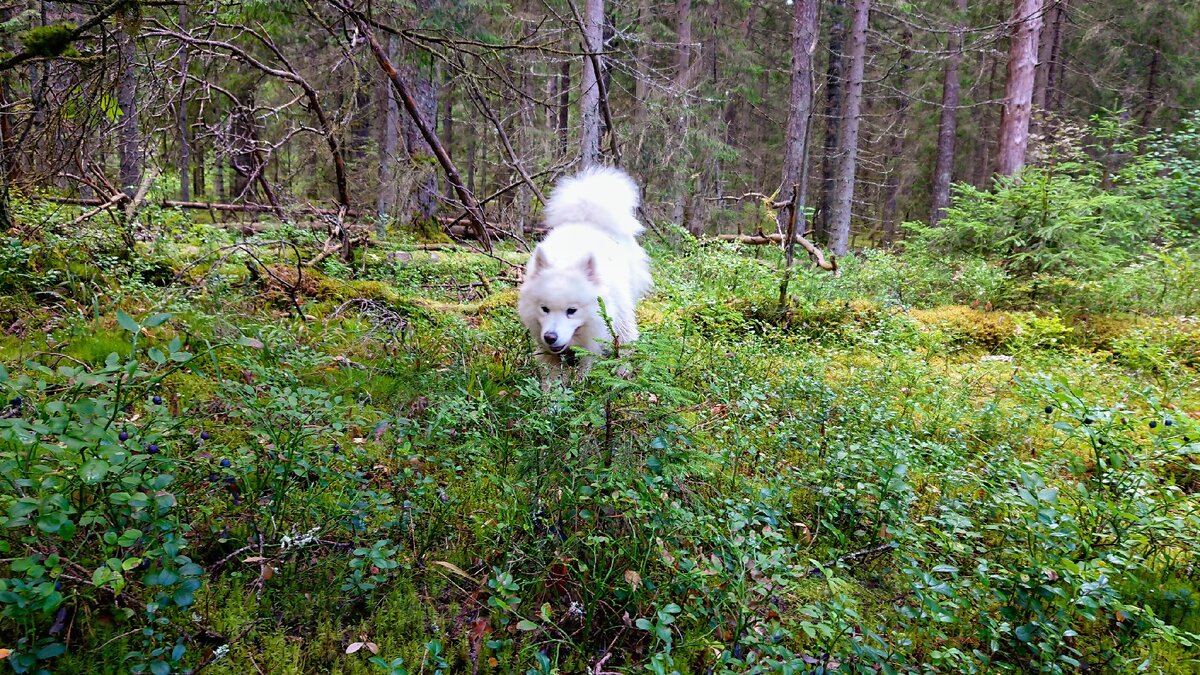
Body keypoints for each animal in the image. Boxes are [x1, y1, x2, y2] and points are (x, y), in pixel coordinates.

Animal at [513, 165, 648, 384]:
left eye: (572, 311)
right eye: (544, 309)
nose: (550, 337)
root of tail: (587, 221)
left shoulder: (592, 340)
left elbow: (586, 366)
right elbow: (552, 378)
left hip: (623, 310)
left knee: (625, 337)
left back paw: (623, 370)